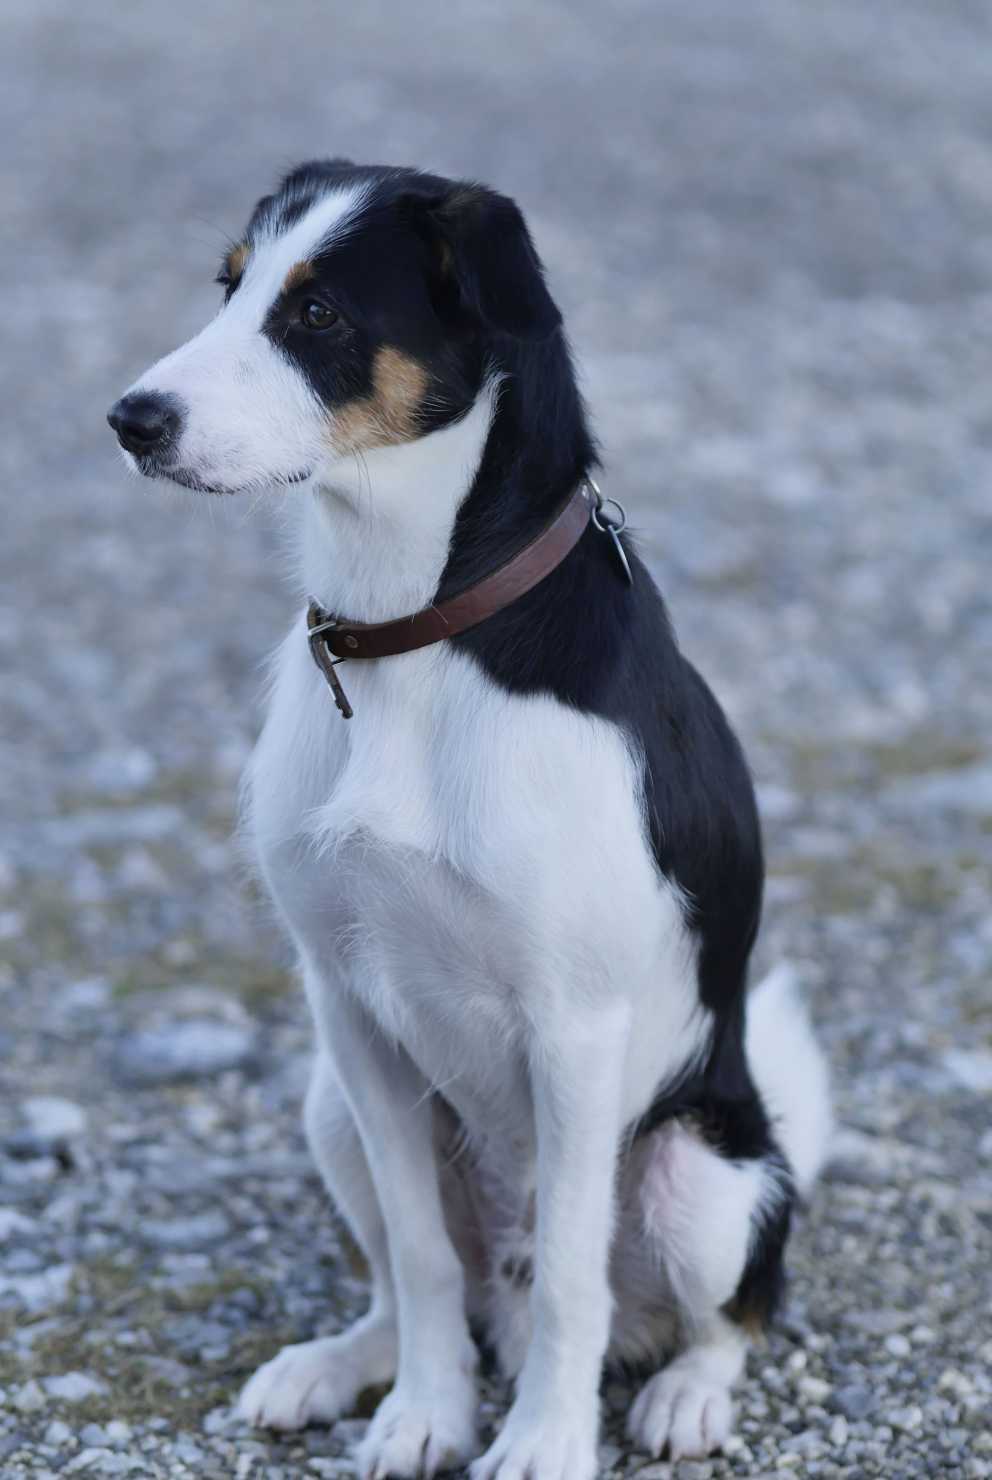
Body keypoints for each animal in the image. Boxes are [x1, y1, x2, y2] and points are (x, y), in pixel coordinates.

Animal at [108, 162, 829, 1480]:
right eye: (229, 286)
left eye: (319, 313)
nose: (130, 419)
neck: (413, 631)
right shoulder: (348, 1007)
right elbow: (421, 1257)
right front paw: (424, 1413)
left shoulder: (574, 1032)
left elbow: (572, 1287)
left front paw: (543, 1440)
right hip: (329, 1107)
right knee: (418, 1284)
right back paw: (340, 1362)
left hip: (704, 1176)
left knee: (724, 1306)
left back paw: (682, 1396)